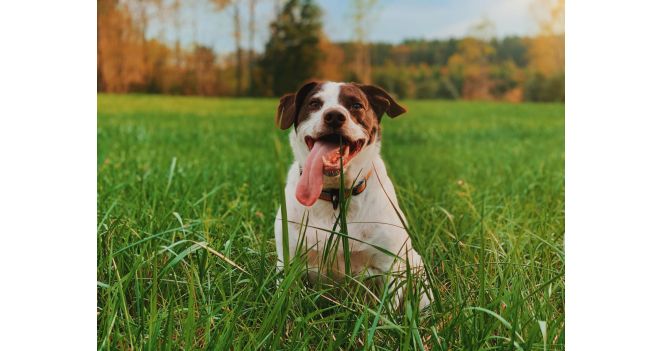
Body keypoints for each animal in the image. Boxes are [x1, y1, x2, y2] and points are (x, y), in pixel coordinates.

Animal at [272, 81, 428, 310]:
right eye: (314, 103)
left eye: (356, 105)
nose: (335, 116)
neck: (335, 196)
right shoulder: (288, 262)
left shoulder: (390, 267)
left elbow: (388, 311)